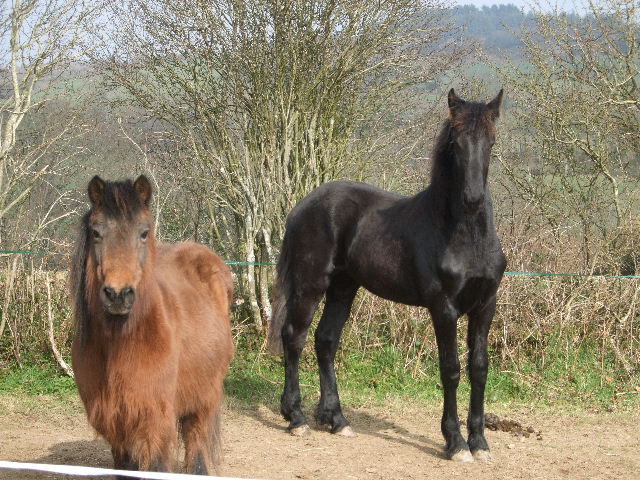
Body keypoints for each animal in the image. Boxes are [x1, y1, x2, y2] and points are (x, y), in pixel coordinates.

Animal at [72, 174, 235, 474]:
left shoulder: (153, 423)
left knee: (196, 449)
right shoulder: (117, 426)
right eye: (96, 233)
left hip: (204, 400)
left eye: (144, 232)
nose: (118, 294)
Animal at [268, 88, 508, 464]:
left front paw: (480, 443)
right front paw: (455, 444)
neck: (465, 238)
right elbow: (451, 369)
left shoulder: (485, 306)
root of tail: (304, 204)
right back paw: (296, 418)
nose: (473, 199)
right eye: (455, 143)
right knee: (294, 336)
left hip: (343, 287)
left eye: (491, 140)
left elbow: (479, 369)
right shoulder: (444, 308)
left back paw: (336, 420)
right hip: (311, 284)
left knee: (325, 340)